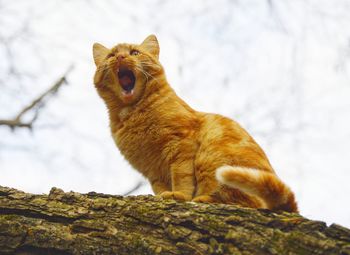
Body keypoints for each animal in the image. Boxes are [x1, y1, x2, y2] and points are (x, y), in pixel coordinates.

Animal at [91, 34, 296, 212]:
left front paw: (179, 195)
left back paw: (204, 199)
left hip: (211, 159)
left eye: (134, 52)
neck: (132, 113)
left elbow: (181, 177)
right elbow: (160, 187)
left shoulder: (181, 145)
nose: (121, 56)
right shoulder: (152, 170)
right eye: (111, 55)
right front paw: (163, 196)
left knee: (244, 202)